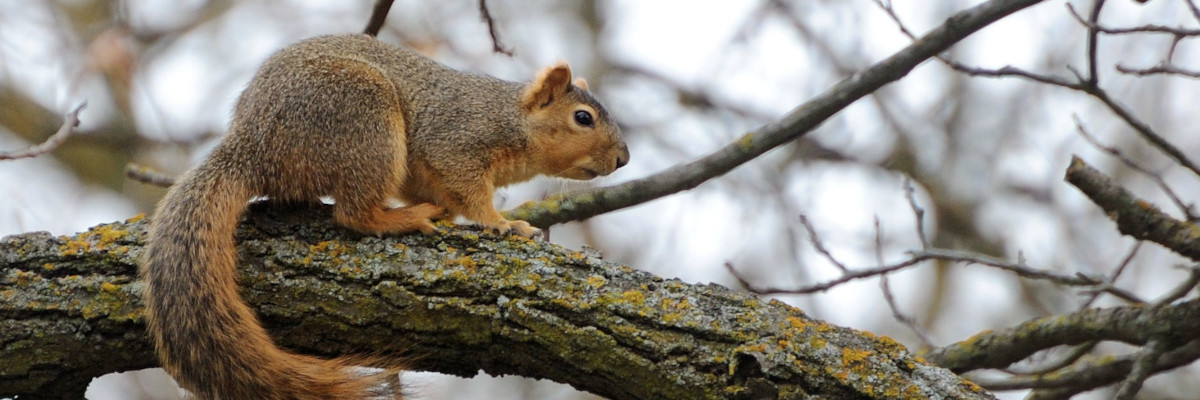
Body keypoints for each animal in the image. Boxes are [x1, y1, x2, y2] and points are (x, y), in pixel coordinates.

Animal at [141, 33, 628, 400]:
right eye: (583, 118)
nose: (623, 158)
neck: (510, 118)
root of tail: (250, 146)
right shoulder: (456, 140)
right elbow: (469, 190)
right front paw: (501, 222)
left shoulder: (423, 172)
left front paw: (456, 214)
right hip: (364, 120)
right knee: (353, 214)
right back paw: (400, 219)